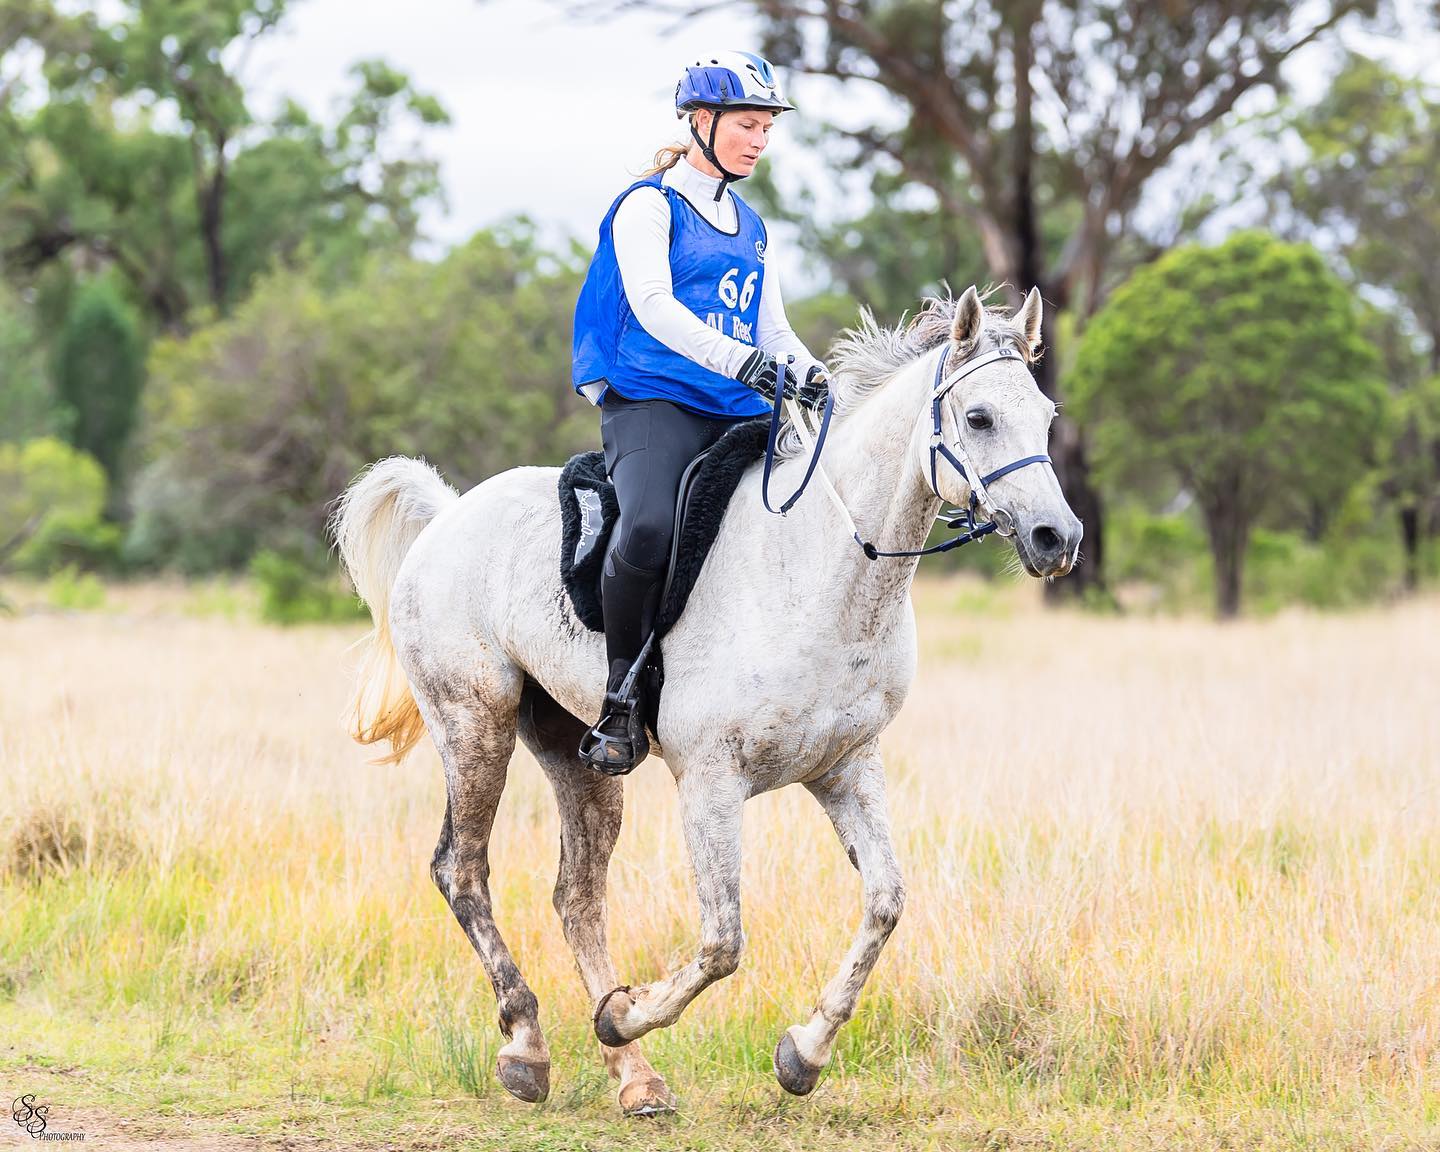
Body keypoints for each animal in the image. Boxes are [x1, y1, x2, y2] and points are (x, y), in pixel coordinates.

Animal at [330, 285, 1082, 1116]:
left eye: (1045, 415)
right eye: (977, 417)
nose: (1058, 538)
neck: (823, 572)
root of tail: (449, 515)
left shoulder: (847, 768)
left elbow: (885, 902)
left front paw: (802, 1054)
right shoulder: (711, 783)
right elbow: (723, 942)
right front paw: (627, 1014)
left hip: (577, 755)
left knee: (577, 896)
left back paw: (635, 1077)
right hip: (473, 726)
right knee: (461, 871)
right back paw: (529, 1044)